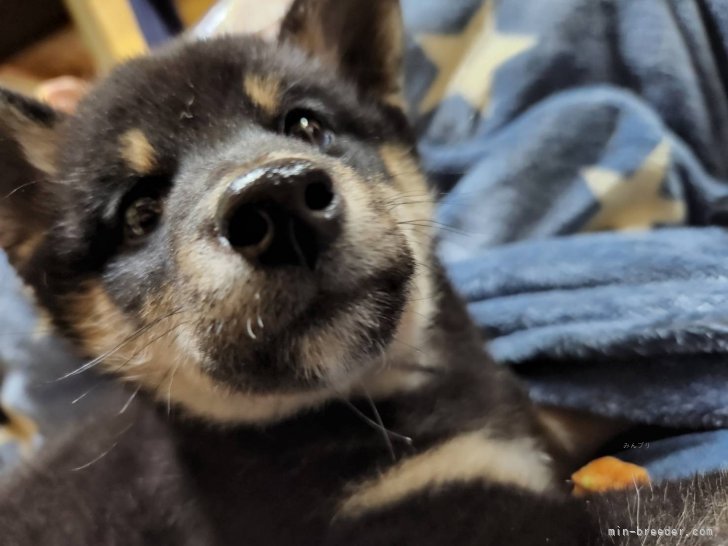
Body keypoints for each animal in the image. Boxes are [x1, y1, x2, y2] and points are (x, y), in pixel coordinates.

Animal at [0, 1, 724, 544]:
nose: (279, 199)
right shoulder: (453, 520)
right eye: (140, 212)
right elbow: (695, 506)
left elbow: (564, 410)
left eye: (305, 123)